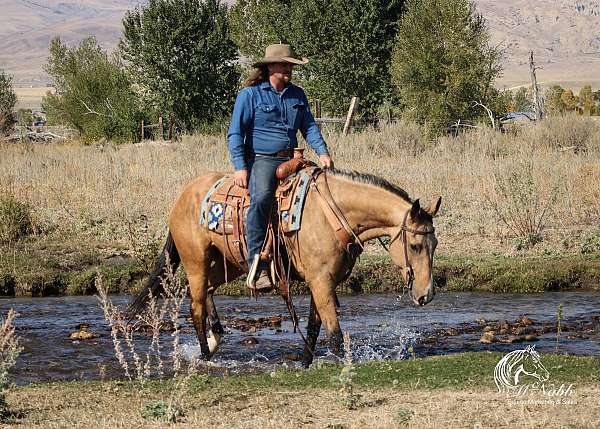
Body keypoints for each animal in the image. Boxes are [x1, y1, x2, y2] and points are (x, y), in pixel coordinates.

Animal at [130, 169, 440, 366]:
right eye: (415, 246)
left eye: (434, 244)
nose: (426, 295)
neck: (333, 215)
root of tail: (183, 196)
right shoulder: (320, 282)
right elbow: (334, 334)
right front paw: (342, 365)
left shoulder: (323, 282)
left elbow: (314, 327)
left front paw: (305, 362)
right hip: (197, 262)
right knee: (195, 307)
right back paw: (206, 356)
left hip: (226, 264)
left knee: (207, 292)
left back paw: (215, 337)